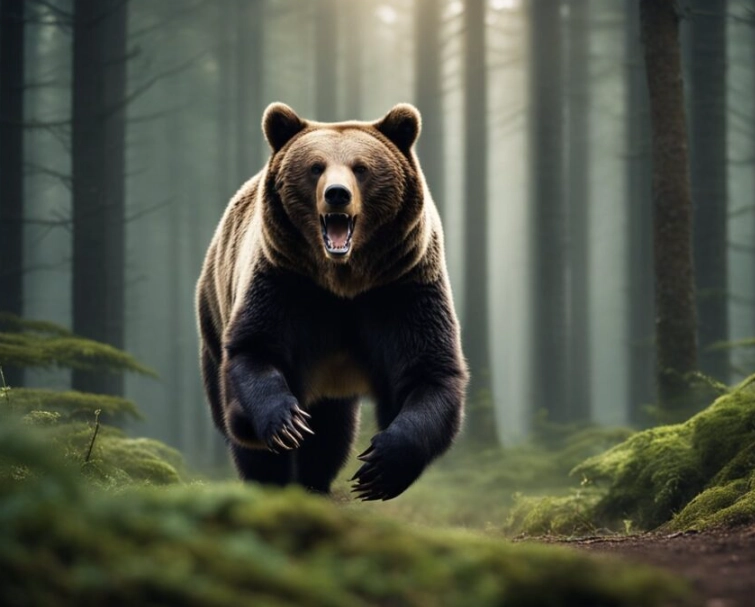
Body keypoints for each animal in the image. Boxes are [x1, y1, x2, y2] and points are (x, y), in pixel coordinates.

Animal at [196, 102, 467, 500]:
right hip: (213, 311)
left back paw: (315, 482)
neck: (343, 281)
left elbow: (429, 372)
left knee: (331, 432)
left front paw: (379, 467)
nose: (337, 194)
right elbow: (256, 349)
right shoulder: (285, 281)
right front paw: (286, 424)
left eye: (361, 167)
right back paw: (270, 480)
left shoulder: (402, 287)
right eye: (315, 167)